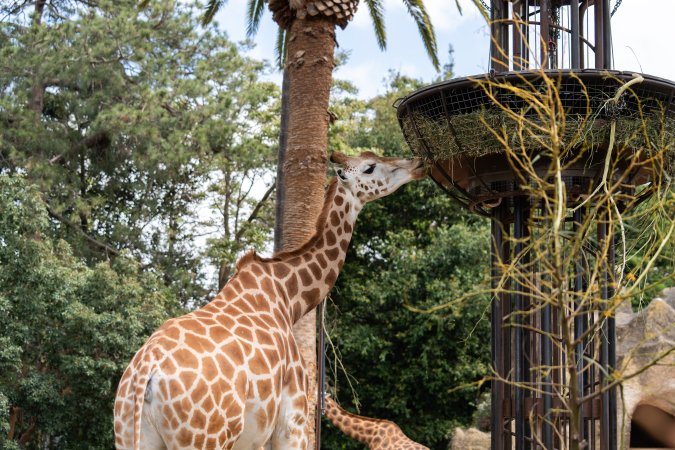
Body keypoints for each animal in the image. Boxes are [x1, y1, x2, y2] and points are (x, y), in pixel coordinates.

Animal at [113, 151, 426, 450]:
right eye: (370, 167)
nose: (417, 163)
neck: (289, 297)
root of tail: (145, 374)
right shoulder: (292, 420)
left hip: (131, 434)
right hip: (205, 439)